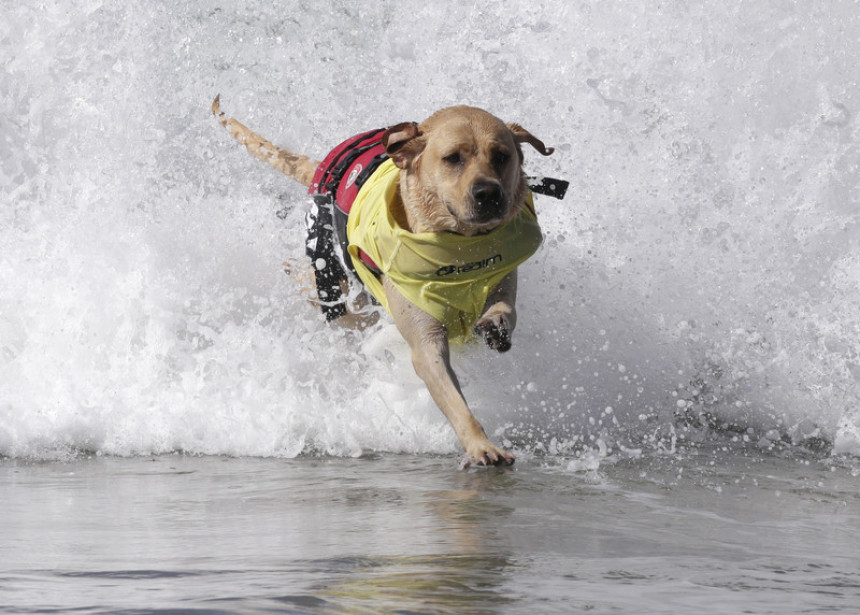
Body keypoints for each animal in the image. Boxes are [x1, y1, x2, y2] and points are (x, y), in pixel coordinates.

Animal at [212, 97, 556, 466]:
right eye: (453, 158)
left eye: (501, 156)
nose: (488, 193)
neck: (459, 248)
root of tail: (322, 168)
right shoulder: (425, 342)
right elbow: (453, 398)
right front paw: (481, 445)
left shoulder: (502, 278)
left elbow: (505, 307)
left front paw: (495, 324)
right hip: (338, 290)